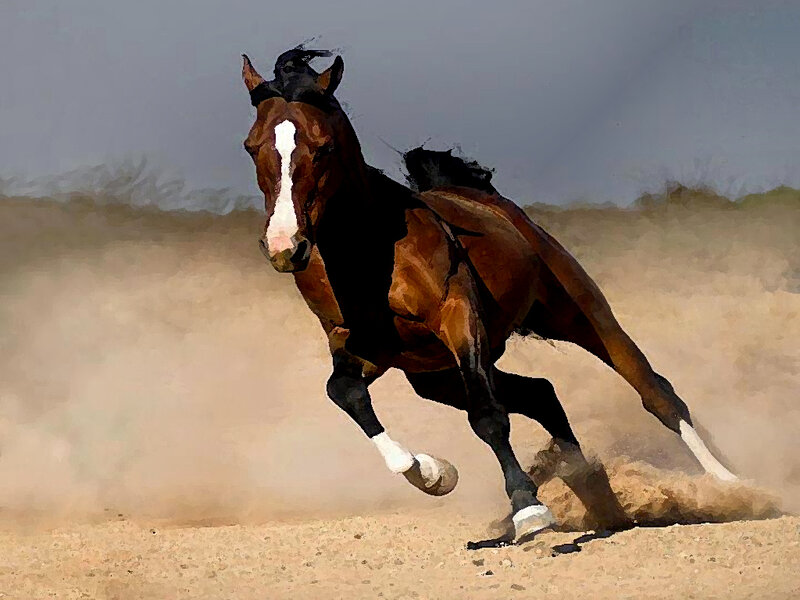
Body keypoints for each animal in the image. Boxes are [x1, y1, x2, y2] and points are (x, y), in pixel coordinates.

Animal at [240, 47, 737, 541]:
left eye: (323, 146)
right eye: (251, 146)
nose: (285, 246)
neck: (369, 253)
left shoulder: (458, 317)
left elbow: (487, 416)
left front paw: (528, 509)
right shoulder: (354, 343)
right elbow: (344, 392)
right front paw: (432, 473)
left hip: (579, 314)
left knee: (653, 389)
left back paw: (729, 484)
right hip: (432, 376)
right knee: (540, 393)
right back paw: (588, 484)